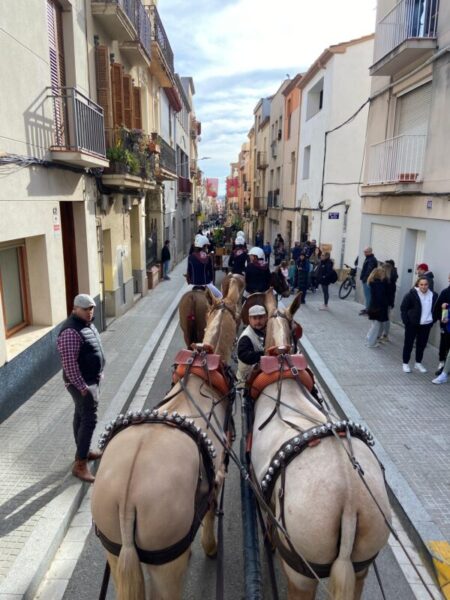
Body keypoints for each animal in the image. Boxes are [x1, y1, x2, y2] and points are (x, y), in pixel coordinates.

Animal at [91, 278, 243, 596]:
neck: (203, 377)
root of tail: (127, 501)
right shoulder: (219, 471)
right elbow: (210, 511)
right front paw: (209, 545)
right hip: (167, 567)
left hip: (114, 550)